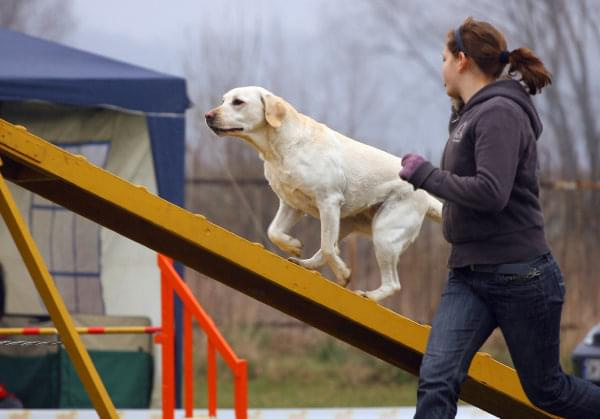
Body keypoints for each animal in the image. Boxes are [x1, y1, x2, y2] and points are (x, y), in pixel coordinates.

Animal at [204, 86, 442, 302]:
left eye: (238, 102)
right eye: (223, 100)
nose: (208, 115)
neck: (281, 148)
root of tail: (427, 195)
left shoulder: (328, 201)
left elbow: (327, 247)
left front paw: (343, 274)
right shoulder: (292, 204)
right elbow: (274, 231)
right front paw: (293, 245)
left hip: (384, 233)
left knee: (391, 283)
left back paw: (369, 295)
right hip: (347, 222)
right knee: (329, 248)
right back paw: (304, 263)